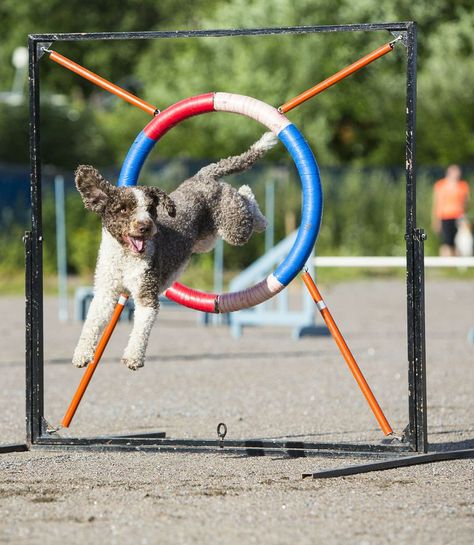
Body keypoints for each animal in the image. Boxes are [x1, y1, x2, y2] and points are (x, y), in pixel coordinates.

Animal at [72, 132, 276, 370]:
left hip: (232, 225)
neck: (126, 258)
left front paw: (133, 357)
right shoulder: (106, 292)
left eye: (150, 209)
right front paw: (81, 355)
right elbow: (92, 322)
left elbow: (141, 328)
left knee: (246, 198)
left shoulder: (146, 294)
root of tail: (202, 176)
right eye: (123, 209)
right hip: (206, 240)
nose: (146, 226)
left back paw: (260, 217)